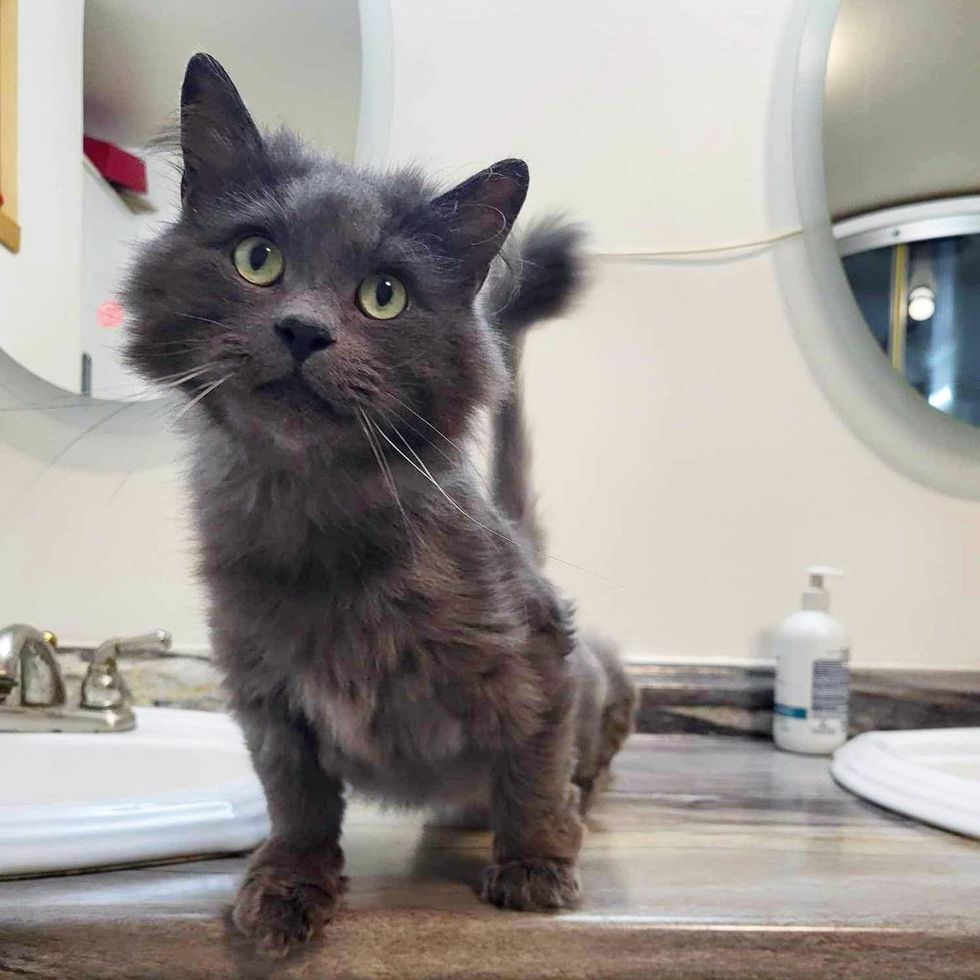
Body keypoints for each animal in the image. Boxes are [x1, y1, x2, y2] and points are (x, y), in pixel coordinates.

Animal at [122, 55, 636, 956]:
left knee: (584, 758)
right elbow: (296, 804)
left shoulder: (540, 657)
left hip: (609, 675)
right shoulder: (265, 700)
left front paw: (536, 864)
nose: (302, 330)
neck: (313, 518)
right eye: (257, 258)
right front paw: (287, 889)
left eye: (384, 295)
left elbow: (533, 774)